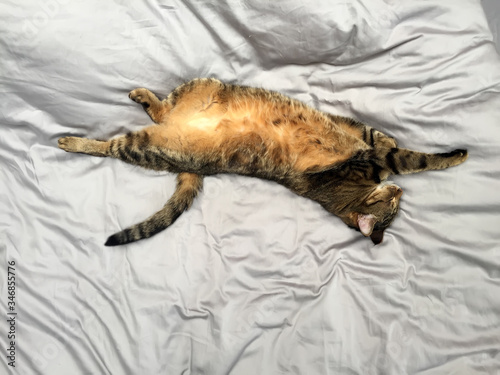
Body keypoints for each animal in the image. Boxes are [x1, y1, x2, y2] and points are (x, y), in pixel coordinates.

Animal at [58, 77, 468, 247]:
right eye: (394, 203)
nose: (400, 192)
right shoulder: (366, 154)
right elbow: (410, 156)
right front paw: (455, 155)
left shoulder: (360, 143)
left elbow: (377, 139)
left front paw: (390, 138)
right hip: (184, 105)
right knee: (115, 144)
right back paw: (73, 140)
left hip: (171, 124)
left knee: (156, 117)